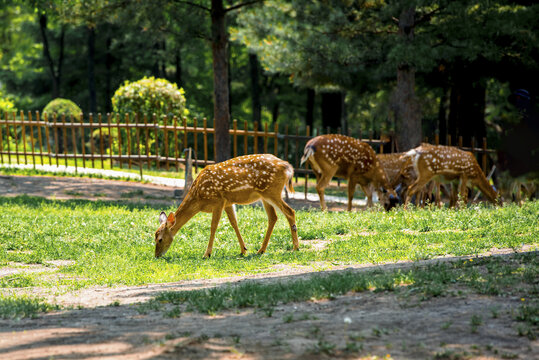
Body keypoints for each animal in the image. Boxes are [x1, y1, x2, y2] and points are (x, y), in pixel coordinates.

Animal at [154, 153, 302, 258]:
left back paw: (295, 247)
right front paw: (243, 250)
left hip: (272, 192)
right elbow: (234, 223)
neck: (198, 197)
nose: (156, 256)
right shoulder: (228, 202)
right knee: (273, 217)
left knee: (290, 211)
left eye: (160, 239)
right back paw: (261, 250)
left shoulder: (218, 200)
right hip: (265, 196)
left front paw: (207, 254)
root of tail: (287, 167)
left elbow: (213, 226)